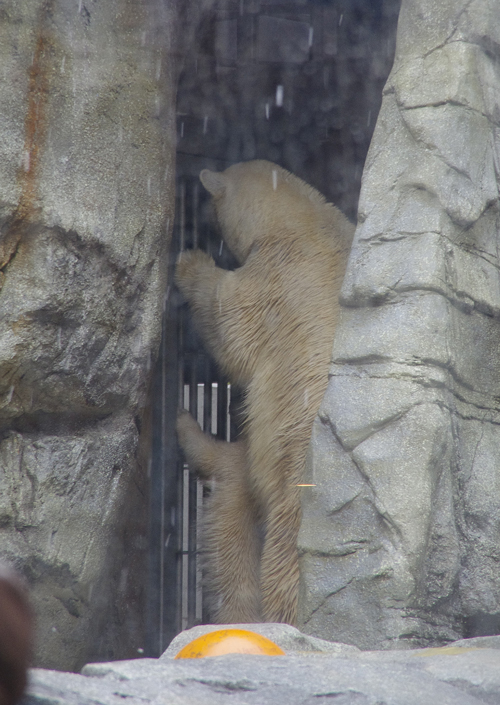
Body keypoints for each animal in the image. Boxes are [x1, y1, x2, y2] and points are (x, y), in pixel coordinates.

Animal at [174, 162, 354, 624]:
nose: (196, 218)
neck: (304, 222)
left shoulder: (275, 282)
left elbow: (229, 323)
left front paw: (190, 262)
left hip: (298, 473)